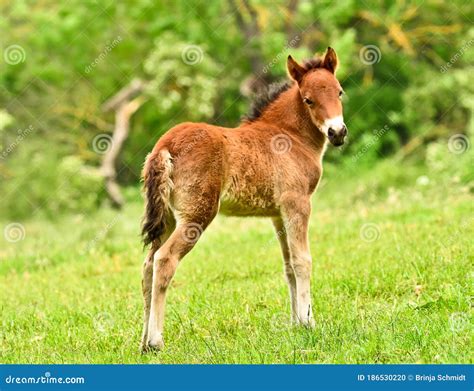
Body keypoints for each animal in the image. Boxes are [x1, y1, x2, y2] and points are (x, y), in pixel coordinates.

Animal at [141, 47, 348, 350]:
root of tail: (165, 145)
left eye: (339, 91)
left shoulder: (278, 214)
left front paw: (296, 324)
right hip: (196, 216)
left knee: (147, 265)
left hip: (167, 218)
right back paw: (156, 341)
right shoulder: (297, 204)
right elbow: (303, 261)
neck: (290, 135)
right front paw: (309, 323)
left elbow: (288, 266)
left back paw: (143, 342)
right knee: (164, 260)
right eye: (308, 100)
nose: (337, 132)